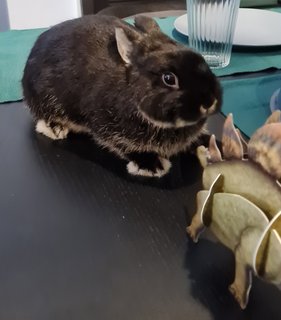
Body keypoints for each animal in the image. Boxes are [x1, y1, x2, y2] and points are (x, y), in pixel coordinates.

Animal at [21, 14, 221, 178]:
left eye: (202, 59)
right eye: (169, 78)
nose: (209, 102)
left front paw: (211, 144)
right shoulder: (105, 125)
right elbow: (122, 145)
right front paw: (151, 165)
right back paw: (55, 129)